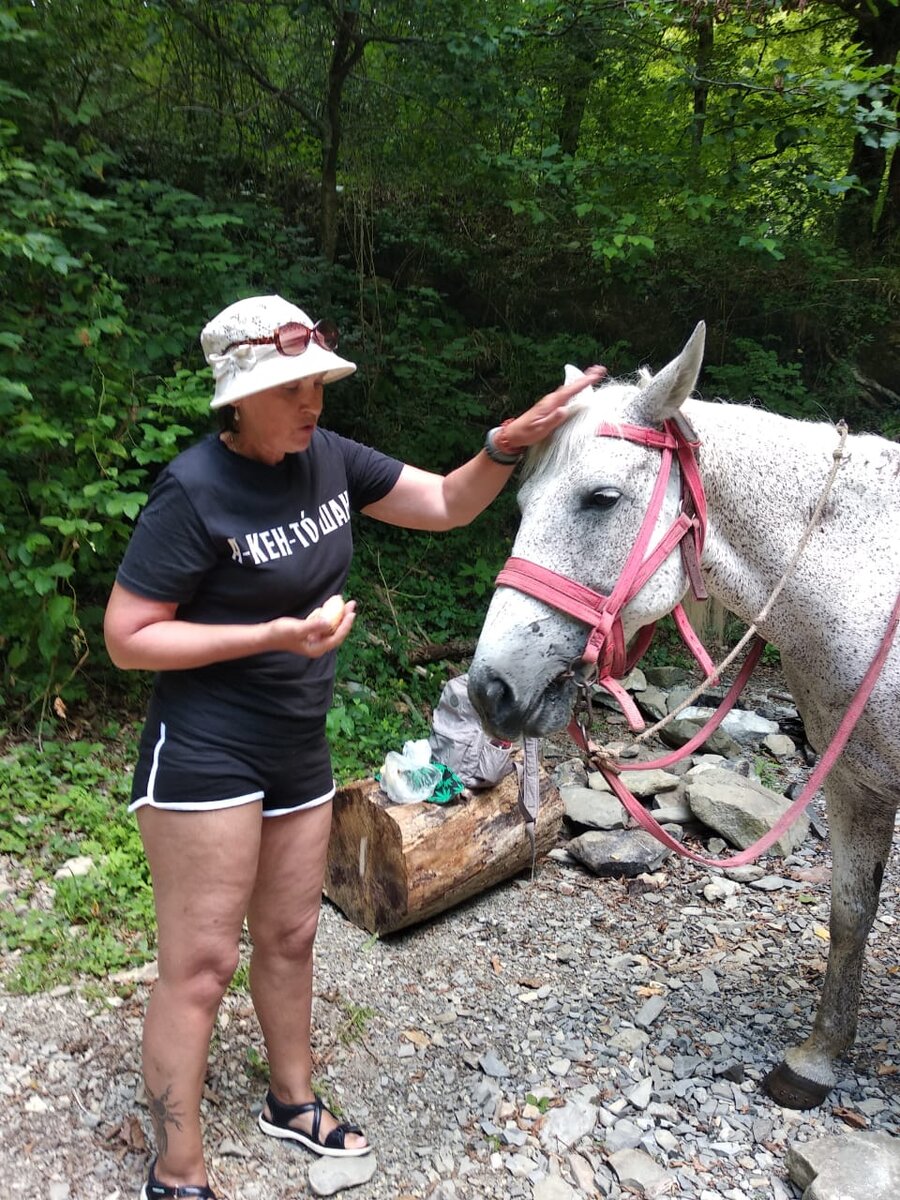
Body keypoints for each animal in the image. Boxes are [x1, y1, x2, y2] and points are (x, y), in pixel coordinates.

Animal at [472, 324, 900, 1108]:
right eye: (522, 503)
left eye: (601, 498)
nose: (491, 689)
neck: (872, 589)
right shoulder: (855, 783)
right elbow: (851, 913)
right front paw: (819, 1060)